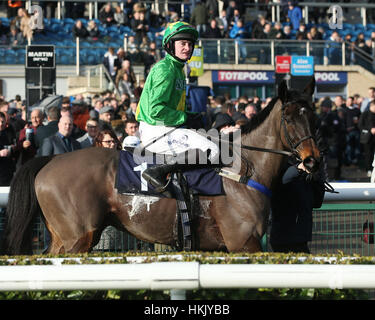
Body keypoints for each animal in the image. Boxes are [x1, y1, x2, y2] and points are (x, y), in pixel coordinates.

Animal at [2, 78, 320, 255]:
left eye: (312, 115)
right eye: (289, 117)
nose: (312, 159)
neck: (242, 171)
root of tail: (49, 160)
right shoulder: (243, 243)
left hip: (63, 237)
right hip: (77, 238)